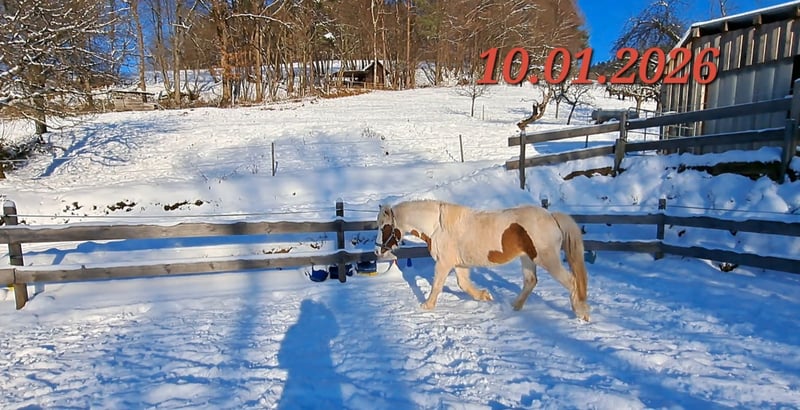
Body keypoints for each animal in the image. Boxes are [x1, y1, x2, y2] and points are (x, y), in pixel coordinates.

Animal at [375, 200, 590, 321]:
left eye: (385, 227)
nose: (377, 250)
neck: (438, 226)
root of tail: (552, 217)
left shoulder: (444, 263)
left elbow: (437, 285)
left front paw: (427, 306)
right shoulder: (459, 264)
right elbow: (463, 284)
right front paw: (485, 296)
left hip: (547, 258)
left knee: (571, 281)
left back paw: (581, 313)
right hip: (527, 258)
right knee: (531, 281)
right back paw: (515, 306)